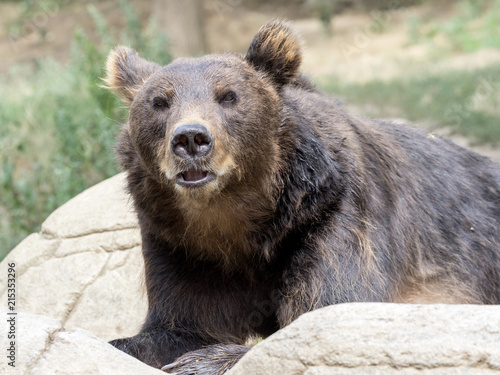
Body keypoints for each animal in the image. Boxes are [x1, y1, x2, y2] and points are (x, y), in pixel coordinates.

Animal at [104, 21, 500, 375]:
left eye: (229, 96)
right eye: (159, 102)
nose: (190, 138)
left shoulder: (330, 218)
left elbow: (323, 311)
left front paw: (202, 361)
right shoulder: (181, 246)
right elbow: (178, 325)